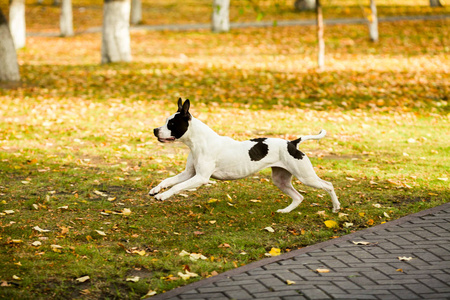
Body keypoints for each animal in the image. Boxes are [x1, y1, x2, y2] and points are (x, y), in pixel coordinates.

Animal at [149, 99, 340, 213]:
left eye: (171, 124)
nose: (155, 130)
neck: (199, 142)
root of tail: (292, 143)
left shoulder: (200, 178)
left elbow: (177, 187)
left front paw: (163, 196)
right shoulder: (188, 174)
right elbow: (168, 180)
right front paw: (156, 189)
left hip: (306, 177)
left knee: (328, 185)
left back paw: (336, 207)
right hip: (281, 180)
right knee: (299, 197)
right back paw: (285, 211)